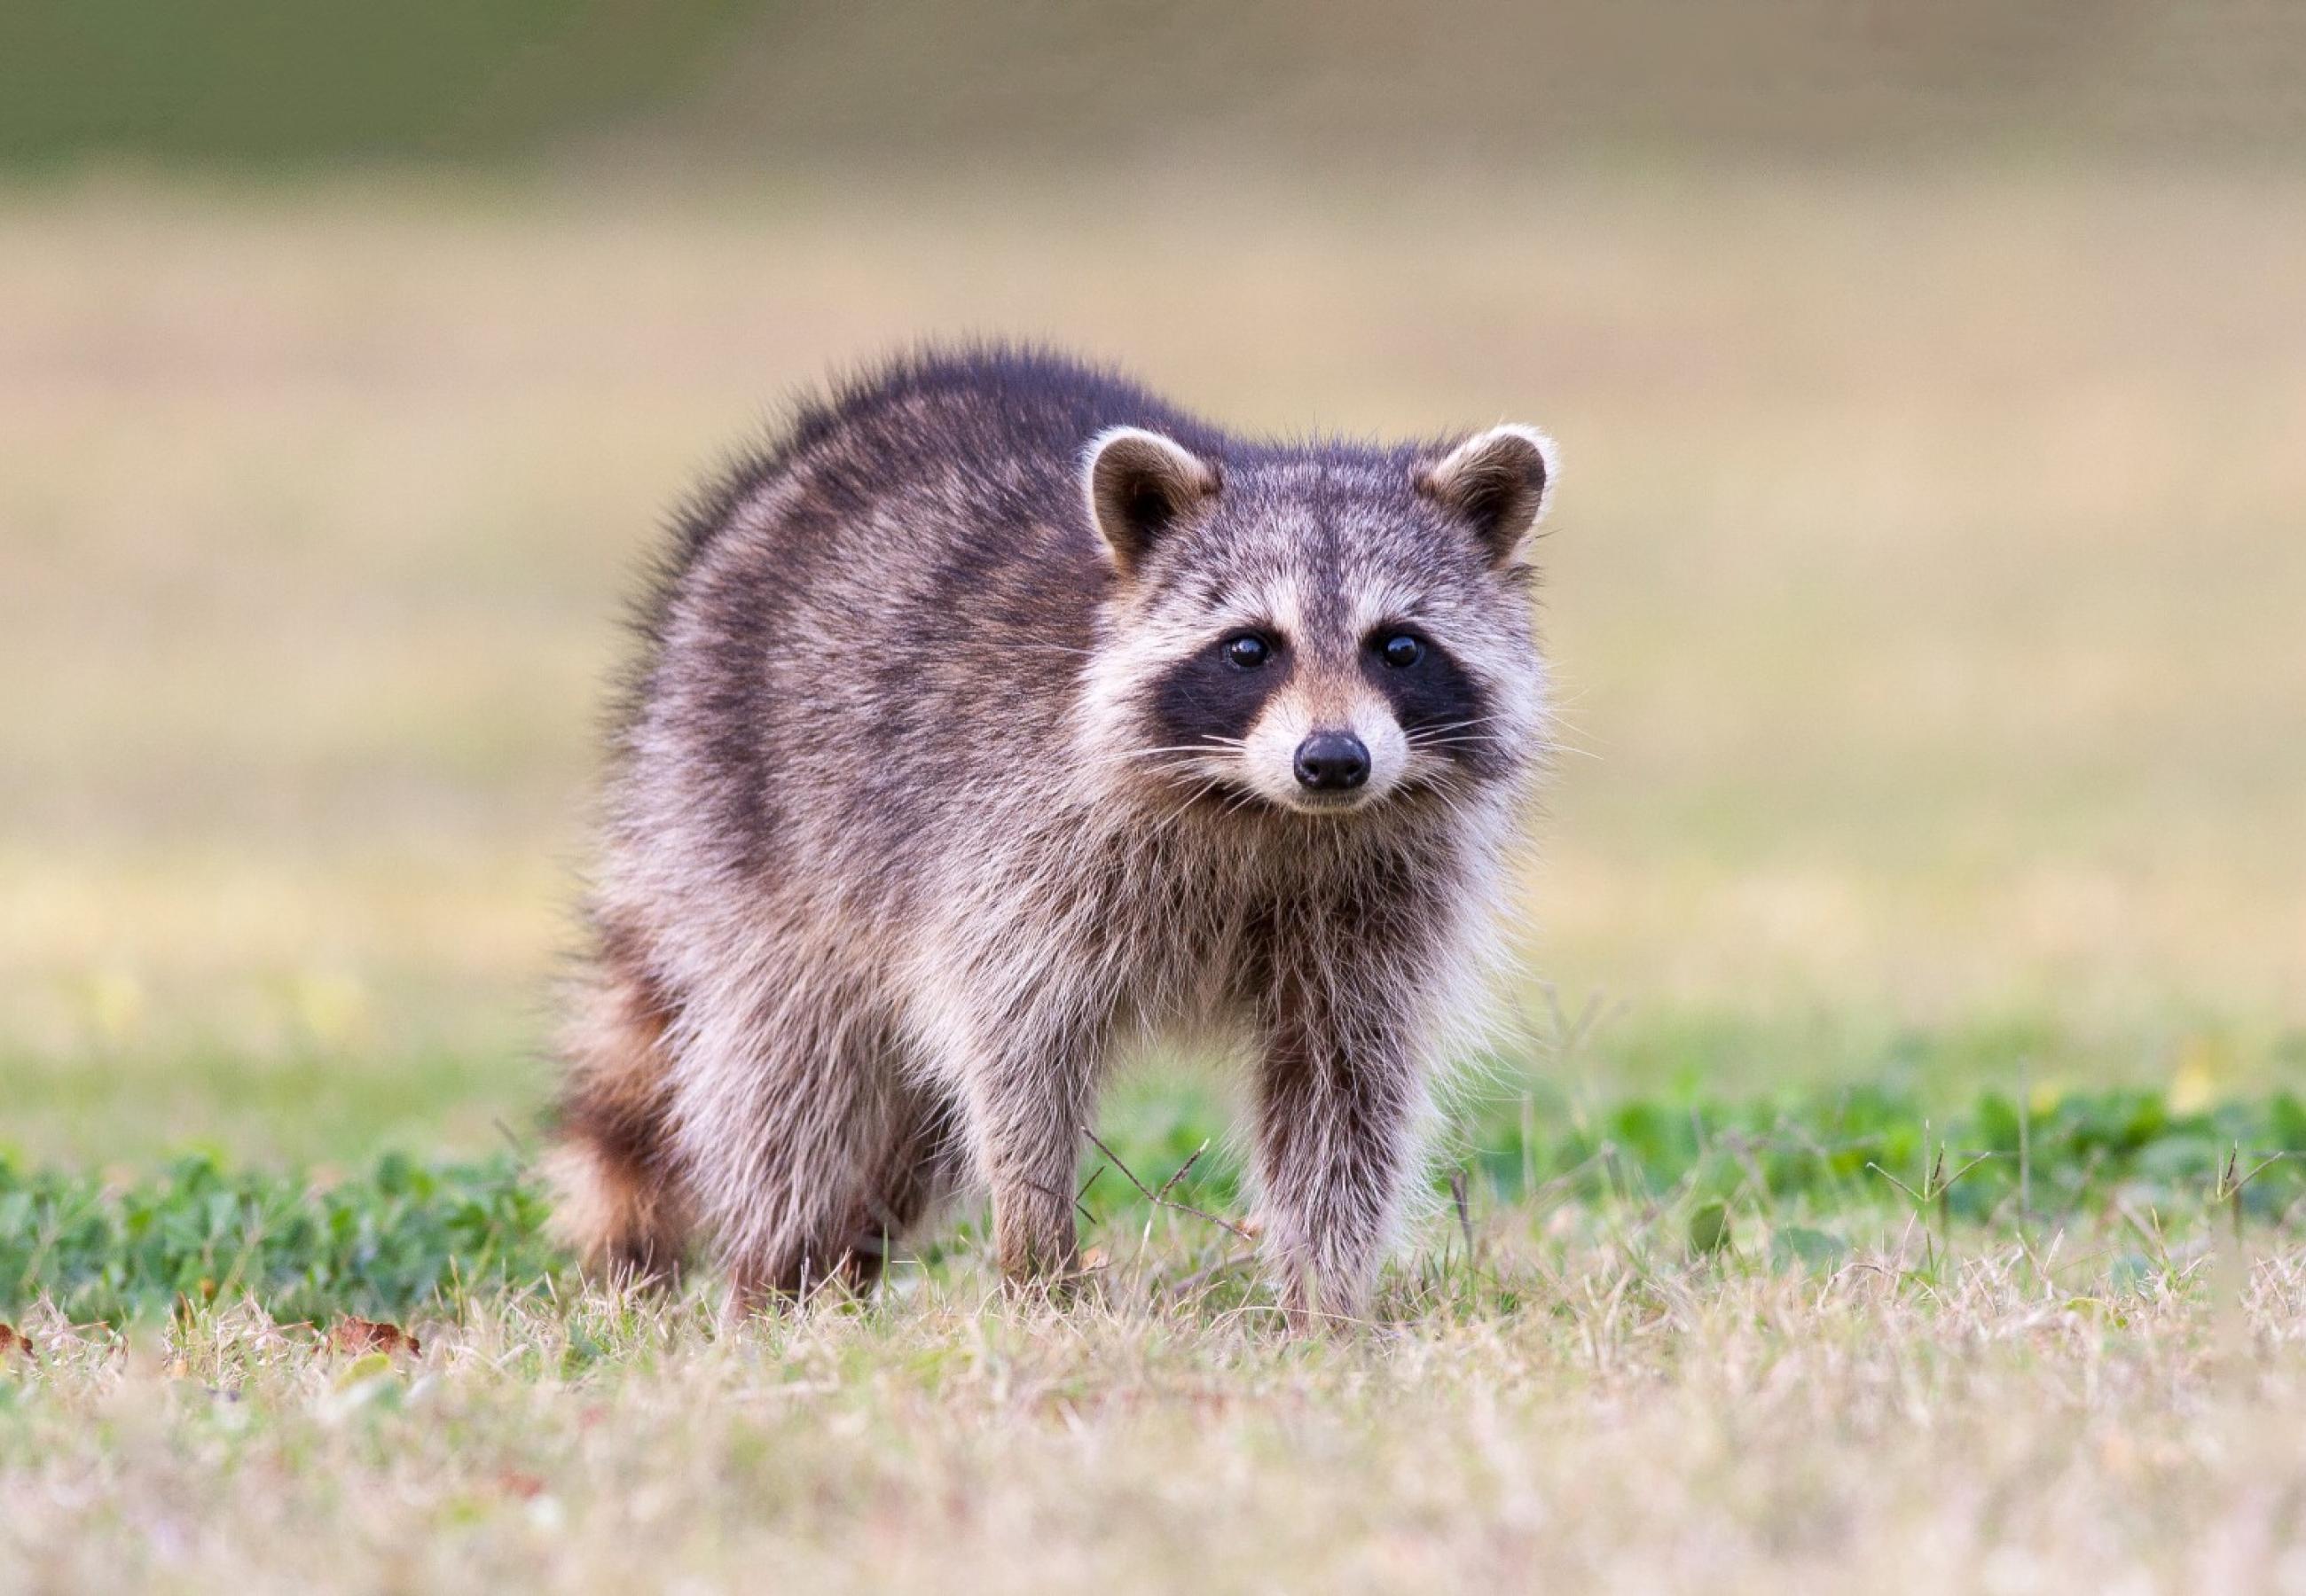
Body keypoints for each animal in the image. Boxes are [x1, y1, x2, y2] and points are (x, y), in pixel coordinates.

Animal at [548, 347, 1558, 1322]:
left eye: (1399, 647)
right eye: (1249, 648)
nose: (1334, 760)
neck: (1263, 810)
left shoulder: (1381, 907)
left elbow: (1340, 1093)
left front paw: (1328, 1304)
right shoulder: (1015, 848)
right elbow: (1013, 1054)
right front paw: (1039, 1263)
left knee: (906, 1137)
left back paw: (844, 1269)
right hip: (748, 821)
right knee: (791, 1081)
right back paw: (775, 1277)